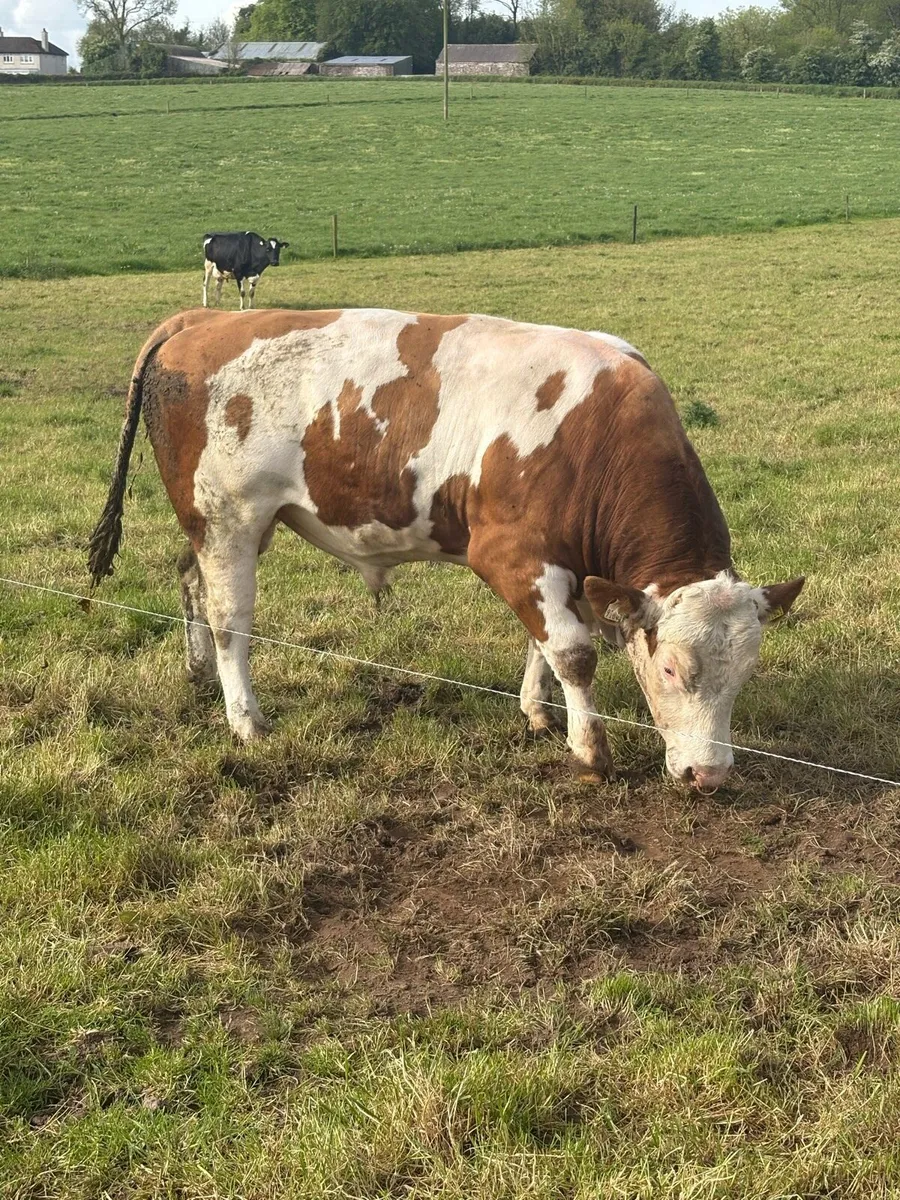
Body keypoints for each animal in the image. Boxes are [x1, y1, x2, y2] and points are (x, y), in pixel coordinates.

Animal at [88, 308, 803, 790]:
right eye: (671, 671)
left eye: (745, 673)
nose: (710, 775)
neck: (595, 440)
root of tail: (205, 319)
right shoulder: (512, 555)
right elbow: (573, 653)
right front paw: (589, 750)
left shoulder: (564, 565)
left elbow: (544, 643)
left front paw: (536, 712)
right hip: (229, 519)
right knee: (229, 619)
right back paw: (245, 718)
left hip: (218, 527)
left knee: (189, 579)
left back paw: (198, 670)